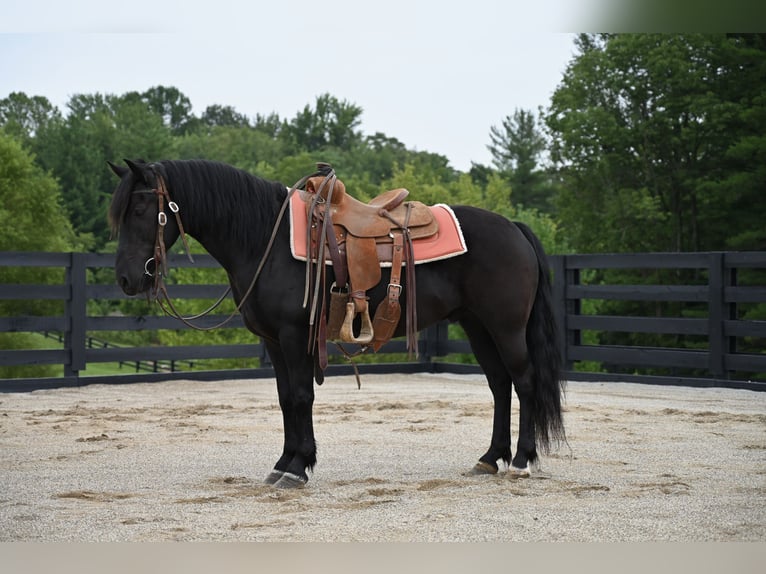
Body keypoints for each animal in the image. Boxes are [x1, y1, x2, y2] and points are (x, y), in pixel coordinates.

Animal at [108, 158, 565, 489]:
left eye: (142, 208)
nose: (128, 279)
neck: (265, 239)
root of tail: (514, 229)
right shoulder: (274, 342)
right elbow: (285, 399)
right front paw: (283, 463)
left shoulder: (295, 337)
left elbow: (300, 397)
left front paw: (297, 468)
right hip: (477, 327)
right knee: (499, 385)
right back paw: (489, 459)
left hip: (506, 327)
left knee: (523, 382)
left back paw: (522, 461)